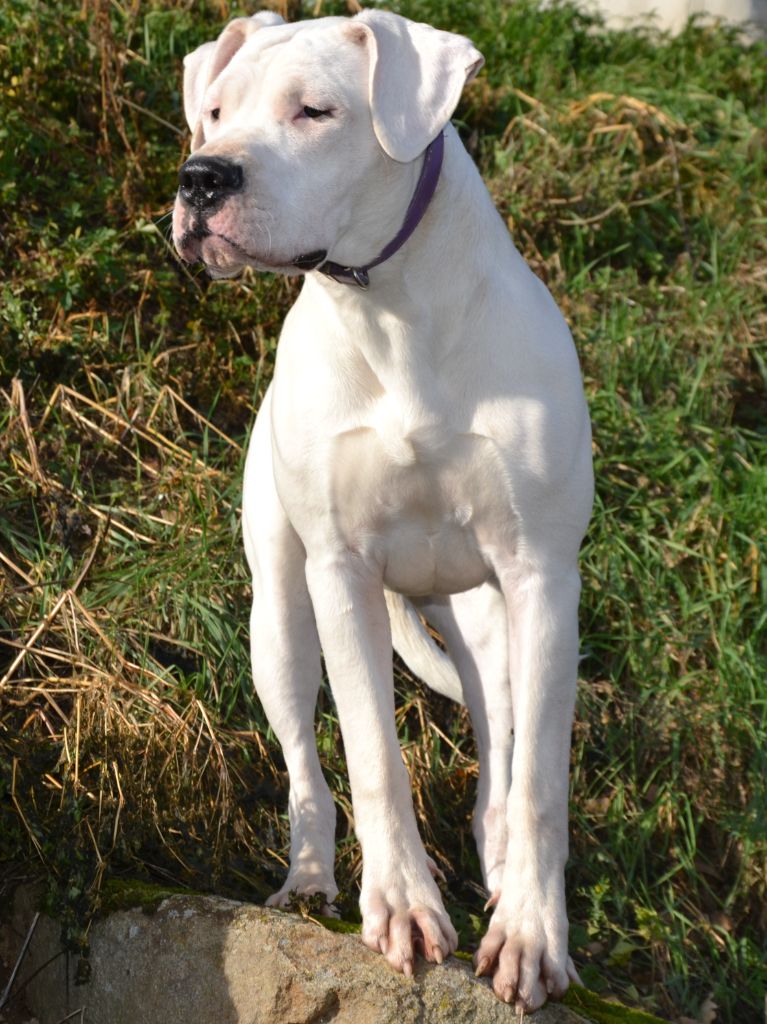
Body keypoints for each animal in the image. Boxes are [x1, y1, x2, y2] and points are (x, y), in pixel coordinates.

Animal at [173, 8, 593, 1011]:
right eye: (215, 111)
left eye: (315, 112)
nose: (201, 177)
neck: (395, 315)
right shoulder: (342, 573)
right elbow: (371, 752)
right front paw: (400, 905)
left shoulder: (542, 578)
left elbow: (538, 784)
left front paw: (531, 935)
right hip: (280, 621)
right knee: (304, 762)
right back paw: (309, 879)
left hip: (489, 625)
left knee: (498, 745)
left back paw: (497, 863)